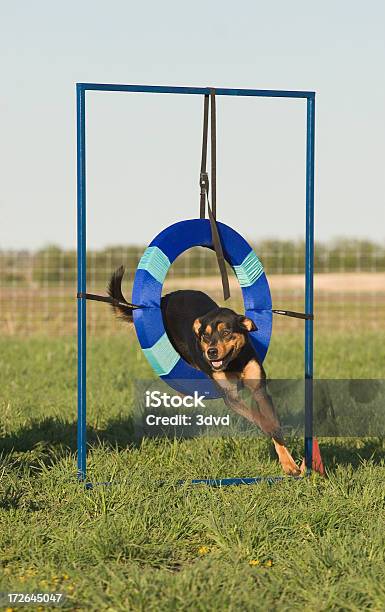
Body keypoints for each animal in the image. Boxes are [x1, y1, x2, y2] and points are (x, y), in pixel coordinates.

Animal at [107, 266, 300, 476]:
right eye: (205, 336)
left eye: (226, 332)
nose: (211, 352)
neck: (234, 363)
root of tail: (165, 298)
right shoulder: (230, 396)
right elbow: (257, 417)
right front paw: (270, 431)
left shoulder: (259, 389)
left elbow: (271, 422)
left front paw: (289, 464)